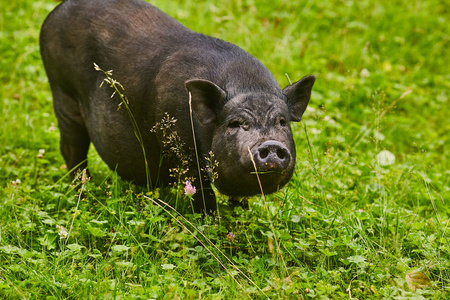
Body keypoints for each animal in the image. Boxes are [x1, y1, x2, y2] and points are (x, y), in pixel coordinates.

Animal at [40, 0, 314, 213]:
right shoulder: (182, 150)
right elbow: (203, 194)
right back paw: (83, 192)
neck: (248, 87)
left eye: (281, 122)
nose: (271, 144)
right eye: (234, 124)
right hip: (62, 93)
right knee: (72, 150)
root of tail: (56, 12)